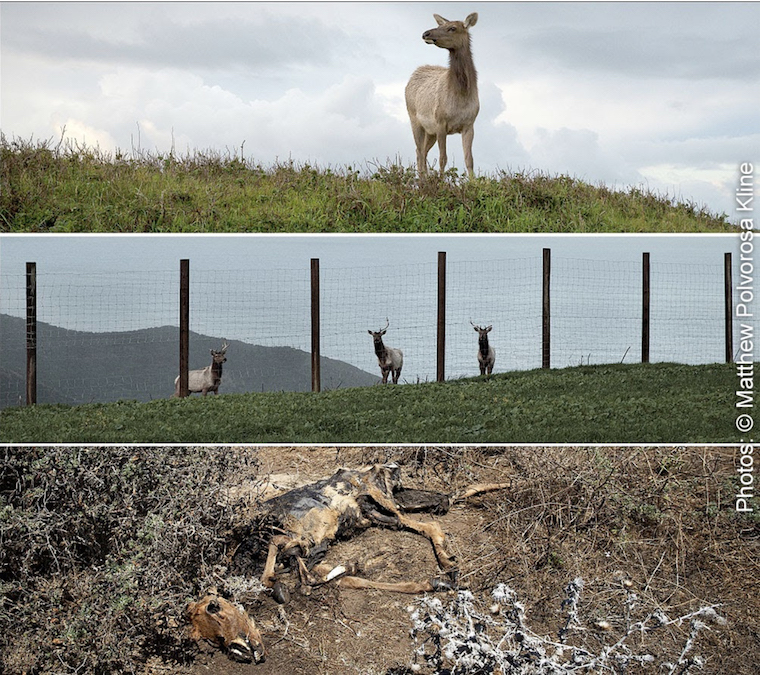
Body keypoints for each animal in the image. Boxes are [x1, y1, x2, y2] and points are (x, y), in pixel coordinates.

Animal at [405, 12, 480, 177]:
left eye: (452, 28)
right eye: (440, 25)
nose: (426, 33)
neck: (461, 95)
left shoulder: (469, 124)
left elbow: (469, 159)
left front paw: (474, 182)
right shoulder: (440, 122)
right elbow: (443, 158)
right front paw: (440, 181)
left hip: (429, 131)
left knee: (422, 152)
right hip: (414, 120)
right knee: (419, 152)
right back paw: (423, 180)